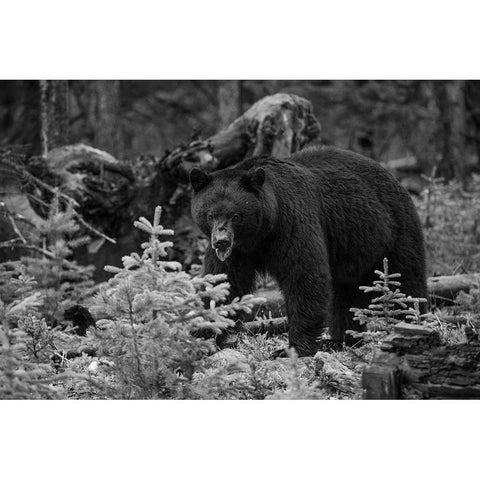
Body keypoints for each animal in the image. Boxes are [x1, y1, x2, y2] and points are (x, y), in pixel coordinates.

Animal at [189, 146, 426, 356]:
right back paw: (340, 339)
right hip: (354, 247)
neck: (260, 234)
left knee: (405, 283)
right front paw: (204, 336)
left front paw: (291, 349)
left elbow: (304, 275)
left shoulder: (291, 222)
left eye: (236, 216)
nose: (221, 242)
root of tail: (396, 180)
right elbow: (223, 283)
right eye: (210, 215)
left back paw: (411, 325)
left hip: (392, 234)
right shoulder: (238, 252)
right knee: (347, 293)